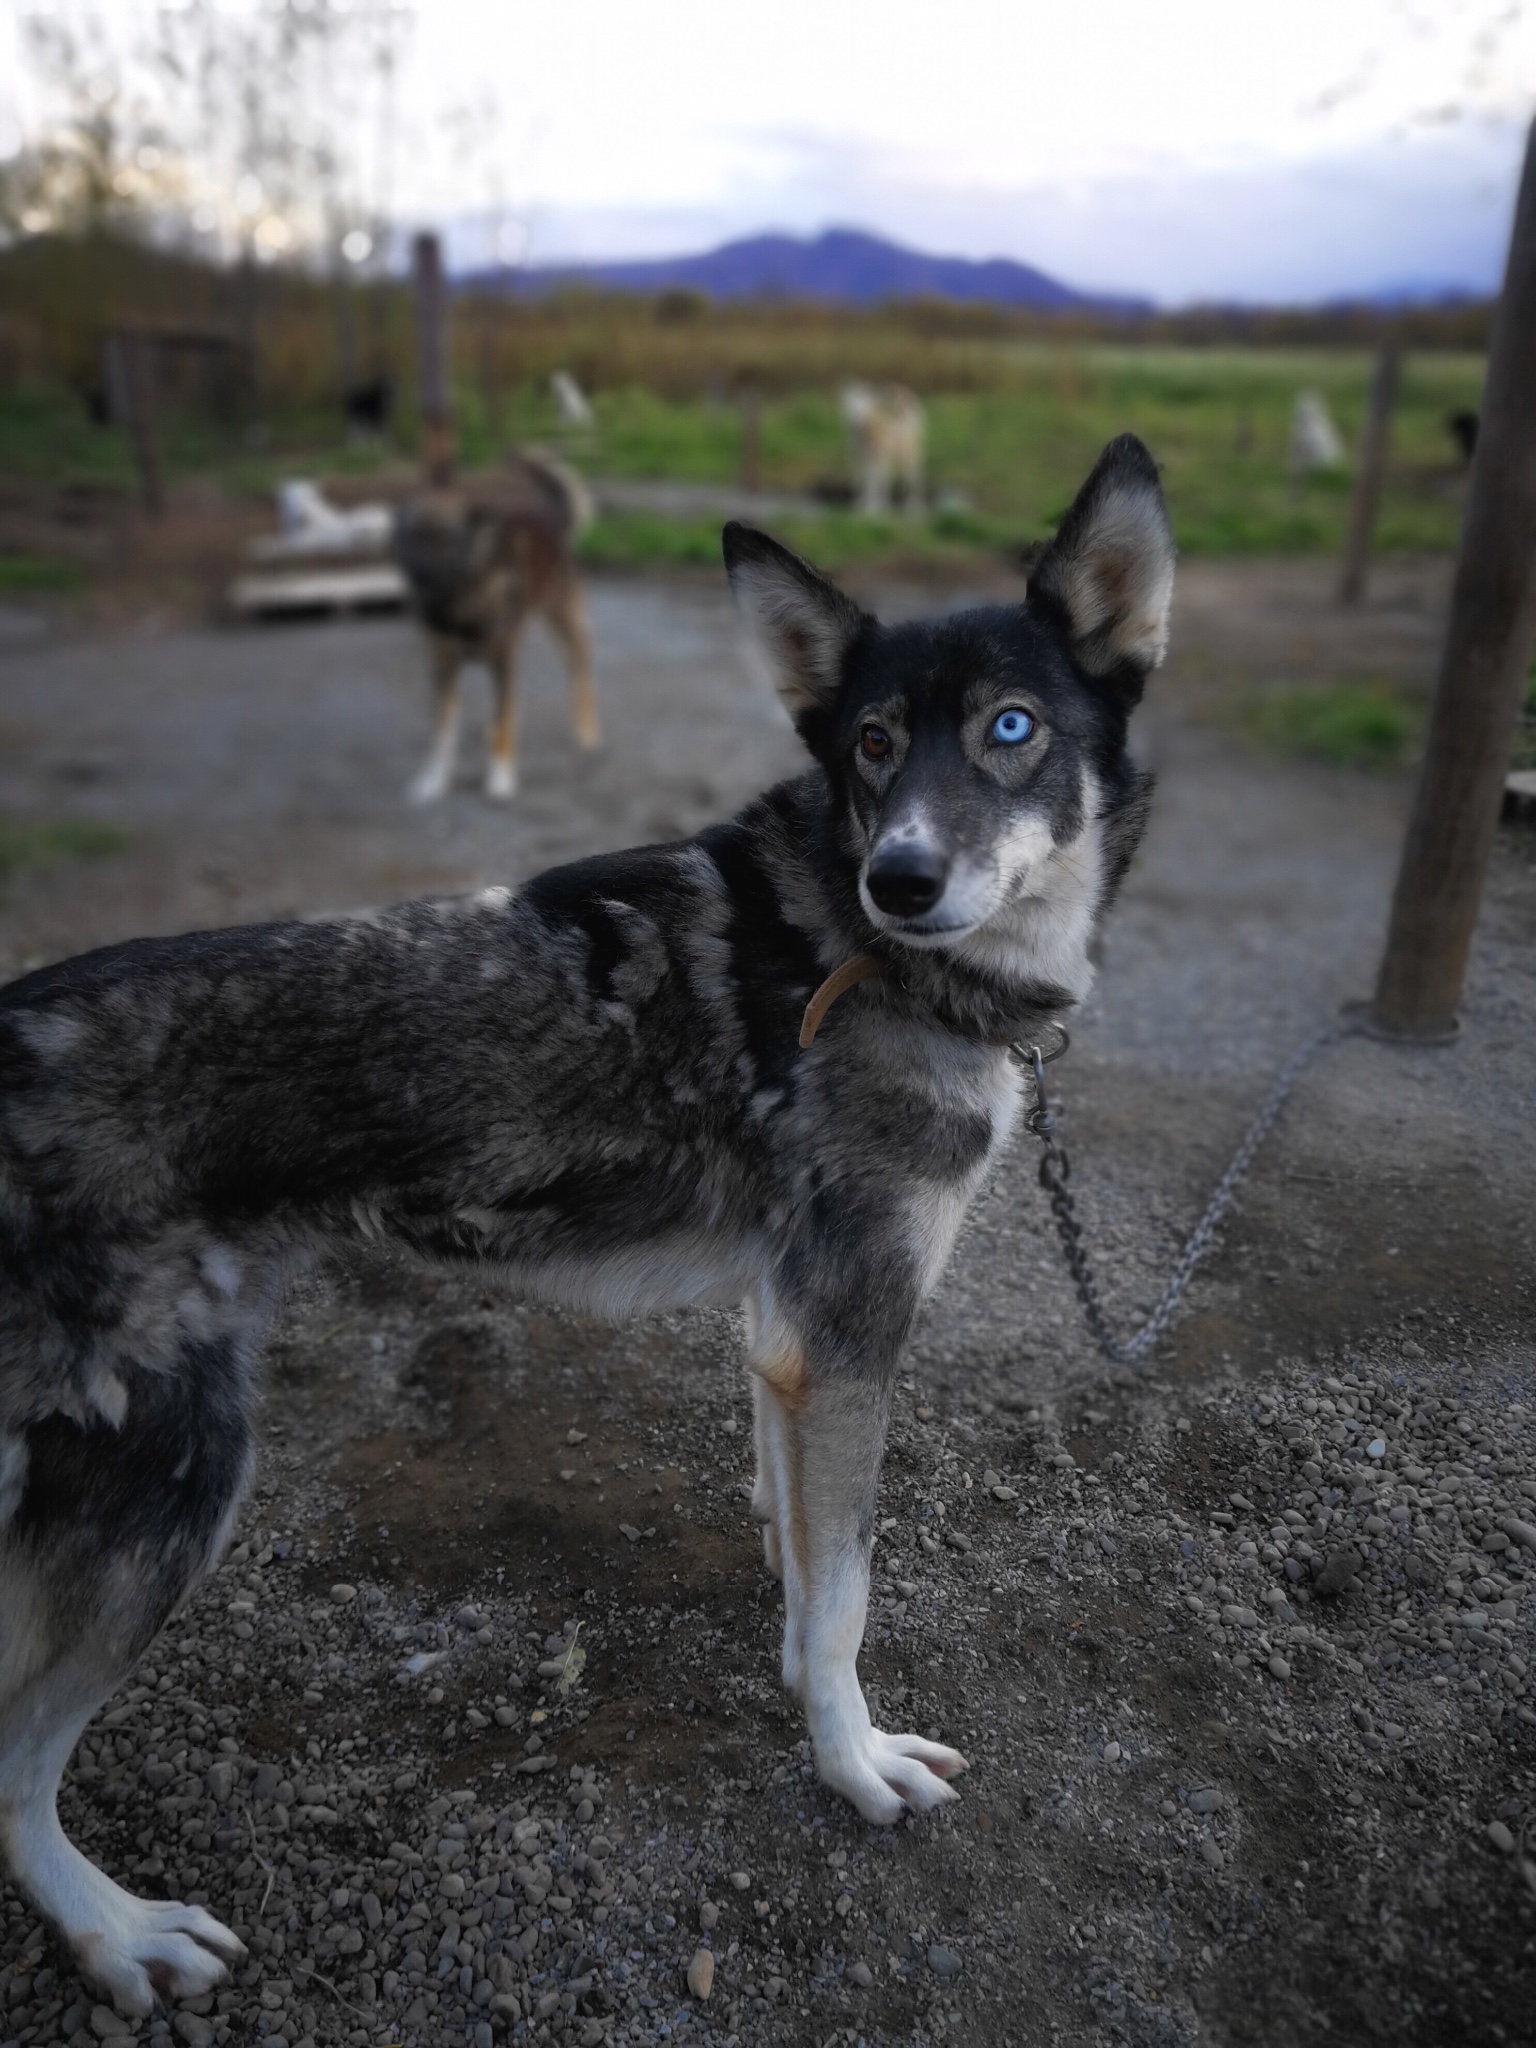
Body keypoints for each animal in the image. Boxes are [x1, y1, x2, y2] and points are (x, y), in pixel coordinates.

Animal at [391, 452, 602, 802]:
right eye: (412, 537)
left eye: (443, 539)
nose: (416, 577)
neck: (459, 597)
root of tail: (551, 517)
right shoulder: (443, 666)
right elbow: (443, 731)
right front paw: (434, 780)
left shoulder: (503, 664)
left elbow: (503, 721)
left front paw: (501, 778)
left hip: (567, 624)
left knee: (581, 674)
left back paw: (587, 733)